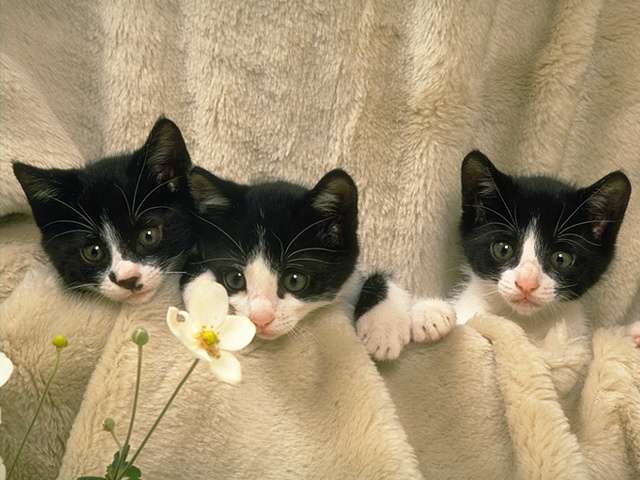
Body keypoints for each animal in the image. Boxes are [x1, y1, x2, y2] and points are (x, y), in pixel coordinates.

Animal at [182, 167, 453, 353]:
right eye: (235, 279)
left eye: (294, 280)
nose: (261, 319)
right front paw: (206, 296)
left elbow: (378, 277)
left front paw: (389, 325)